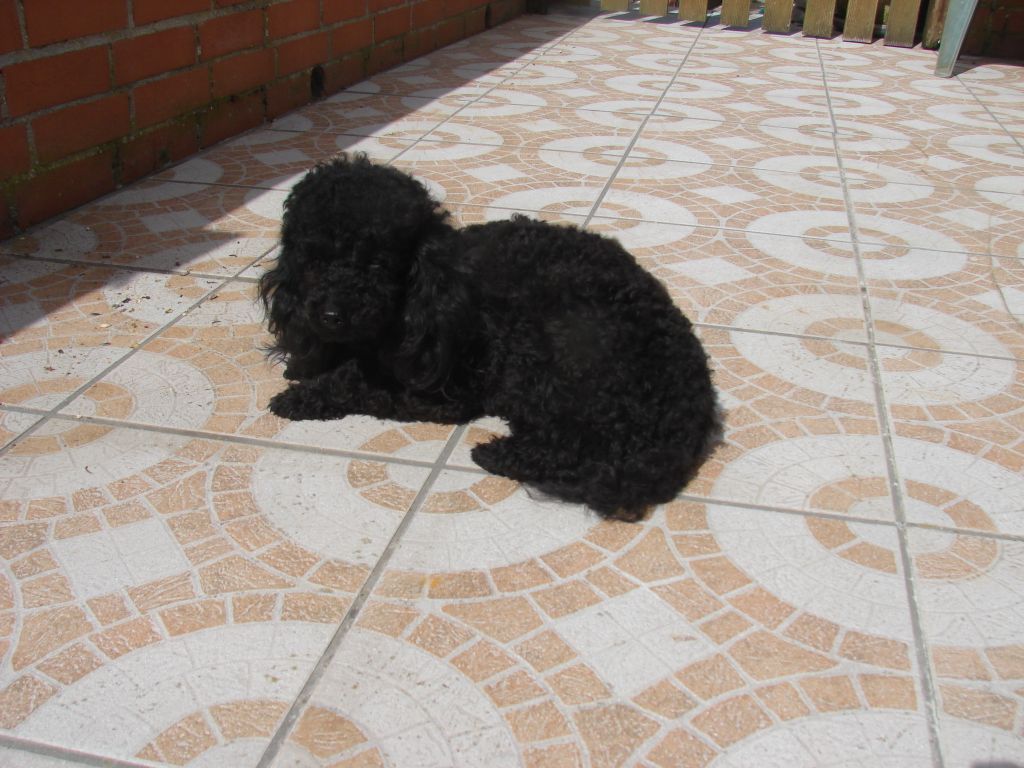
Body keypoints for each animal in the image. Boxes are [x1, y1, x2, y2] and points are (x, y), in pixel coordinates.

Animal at [260, 154, 720, 521]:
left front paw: (304, 396)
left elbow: (358, 379)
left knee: (565, 447)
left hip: (545, 358)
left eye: (377, 264)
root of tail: (689, 409)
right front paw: (308, 366)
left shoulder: (446, 391)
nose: (331, 316)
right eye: (313, 261)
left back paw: (496, 453)